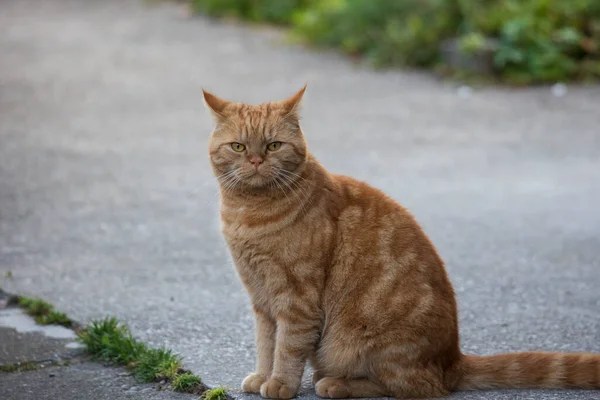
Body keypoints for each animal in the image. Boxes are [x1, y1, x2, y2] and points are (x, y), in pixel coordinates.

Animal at [203, 86, 600, 398]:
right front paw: (262, 376)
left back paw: (335, 383)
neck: (248, 213)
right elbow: (266, 343)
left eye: (274, 146)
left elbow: (286, 346)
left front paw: (281, 385)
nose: (256, 160)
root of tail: (452, 359)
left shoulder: (296, 298)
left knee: (413, 387)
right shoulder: (261, 299)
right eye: (238, 147)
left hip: (359, 341)